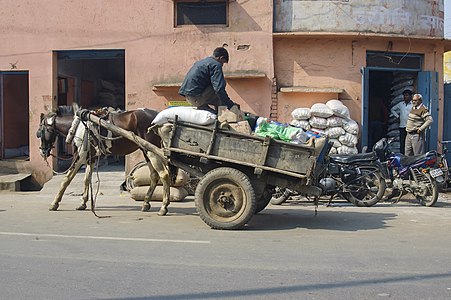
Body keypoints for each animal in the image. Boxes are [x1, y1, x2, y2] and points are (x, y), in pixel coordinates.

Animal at [35, 106, 171, 216]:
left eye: (40, 132)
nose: (42, 151)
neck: (78, 126)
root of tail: (157, 116)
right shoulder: (91, 157)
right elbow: (86, 179)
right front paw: (83, 202)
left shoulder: (80, 155)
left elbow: (66, 179)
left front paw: (54, 203)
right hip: (145, 149)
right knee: (154, 175)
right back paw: (146, 203)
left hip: (151, 150)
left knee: (164, 174)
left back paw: (163, 207)